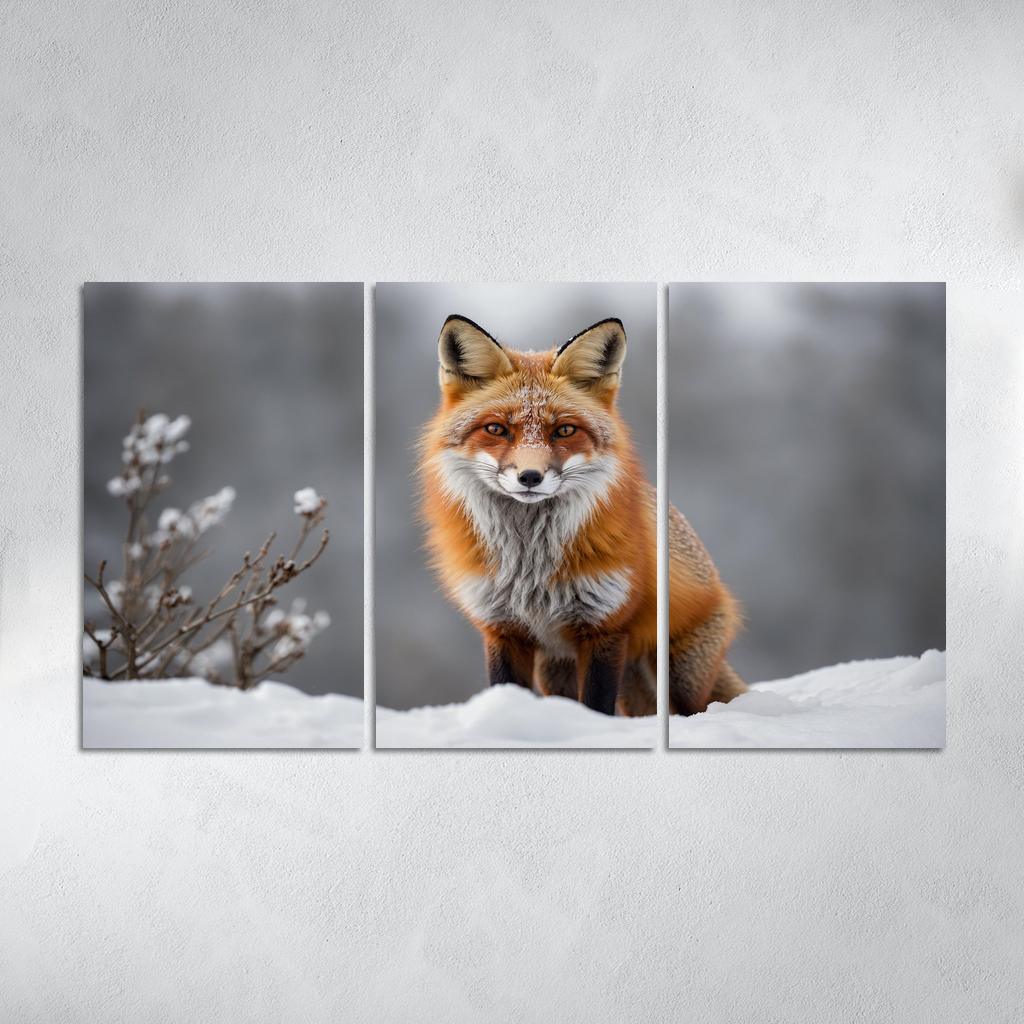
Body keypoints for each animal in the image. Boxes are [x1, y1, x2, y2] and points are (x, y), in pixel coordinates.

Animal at [420, 314, 747, 716]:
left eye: (564, 430)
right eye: (496, 429)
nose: (530, 477)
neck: (529, 566)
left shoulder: (604, 627)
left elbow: (596, 705)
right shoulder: (503, 629)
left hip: (678, 678)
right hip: (558, 671)